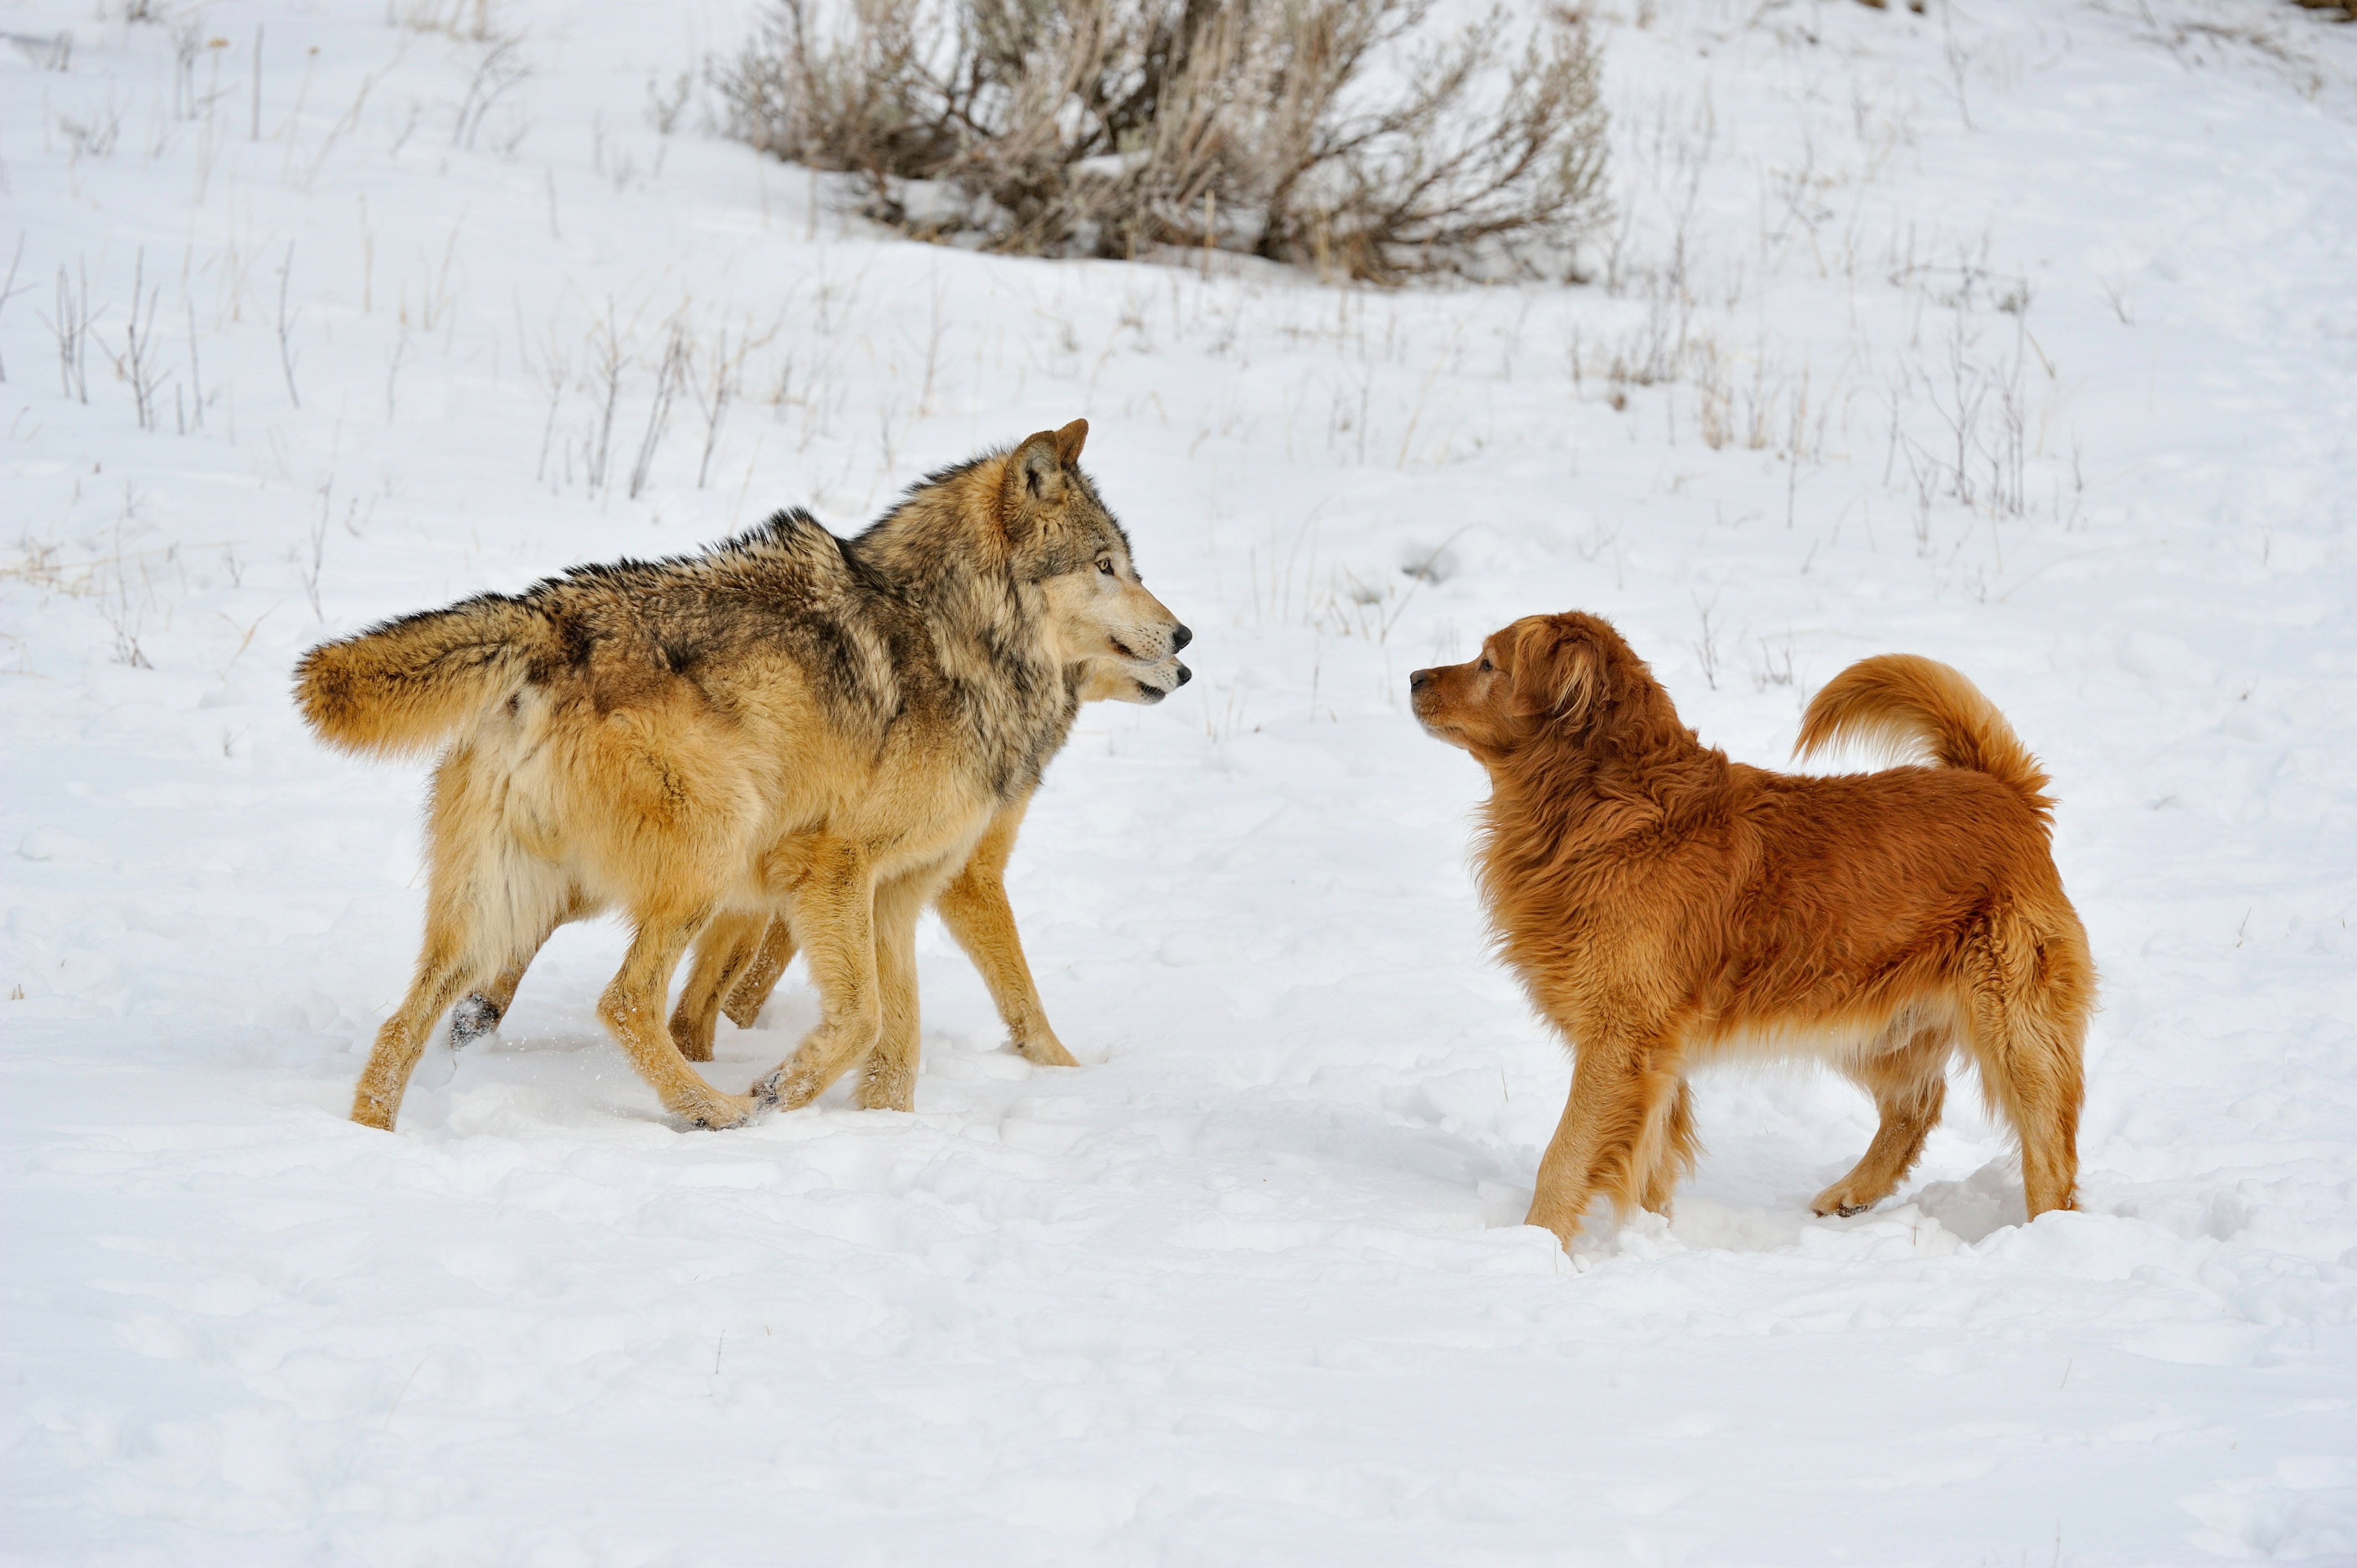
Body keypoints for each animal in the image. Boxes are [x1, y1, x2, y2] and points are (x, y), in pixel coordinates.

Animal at [1404, 613, 2093, 1245]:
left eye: (1488, 663)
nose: (1413, 677)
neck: (1609, 807)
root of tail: (2000, 787)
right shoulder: (1655, 1056)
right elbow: (1647, 1159)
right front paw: (1647, 1240)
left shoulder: (1618, 1040)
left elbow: (1565, 1156)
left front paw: (1536, 1245)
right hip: (1869, 1021)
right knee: (1916, 1107)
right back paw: (1853, 1194)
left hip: (2014, 1029)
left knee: (2048, 1150)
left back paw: (2047, 1238)